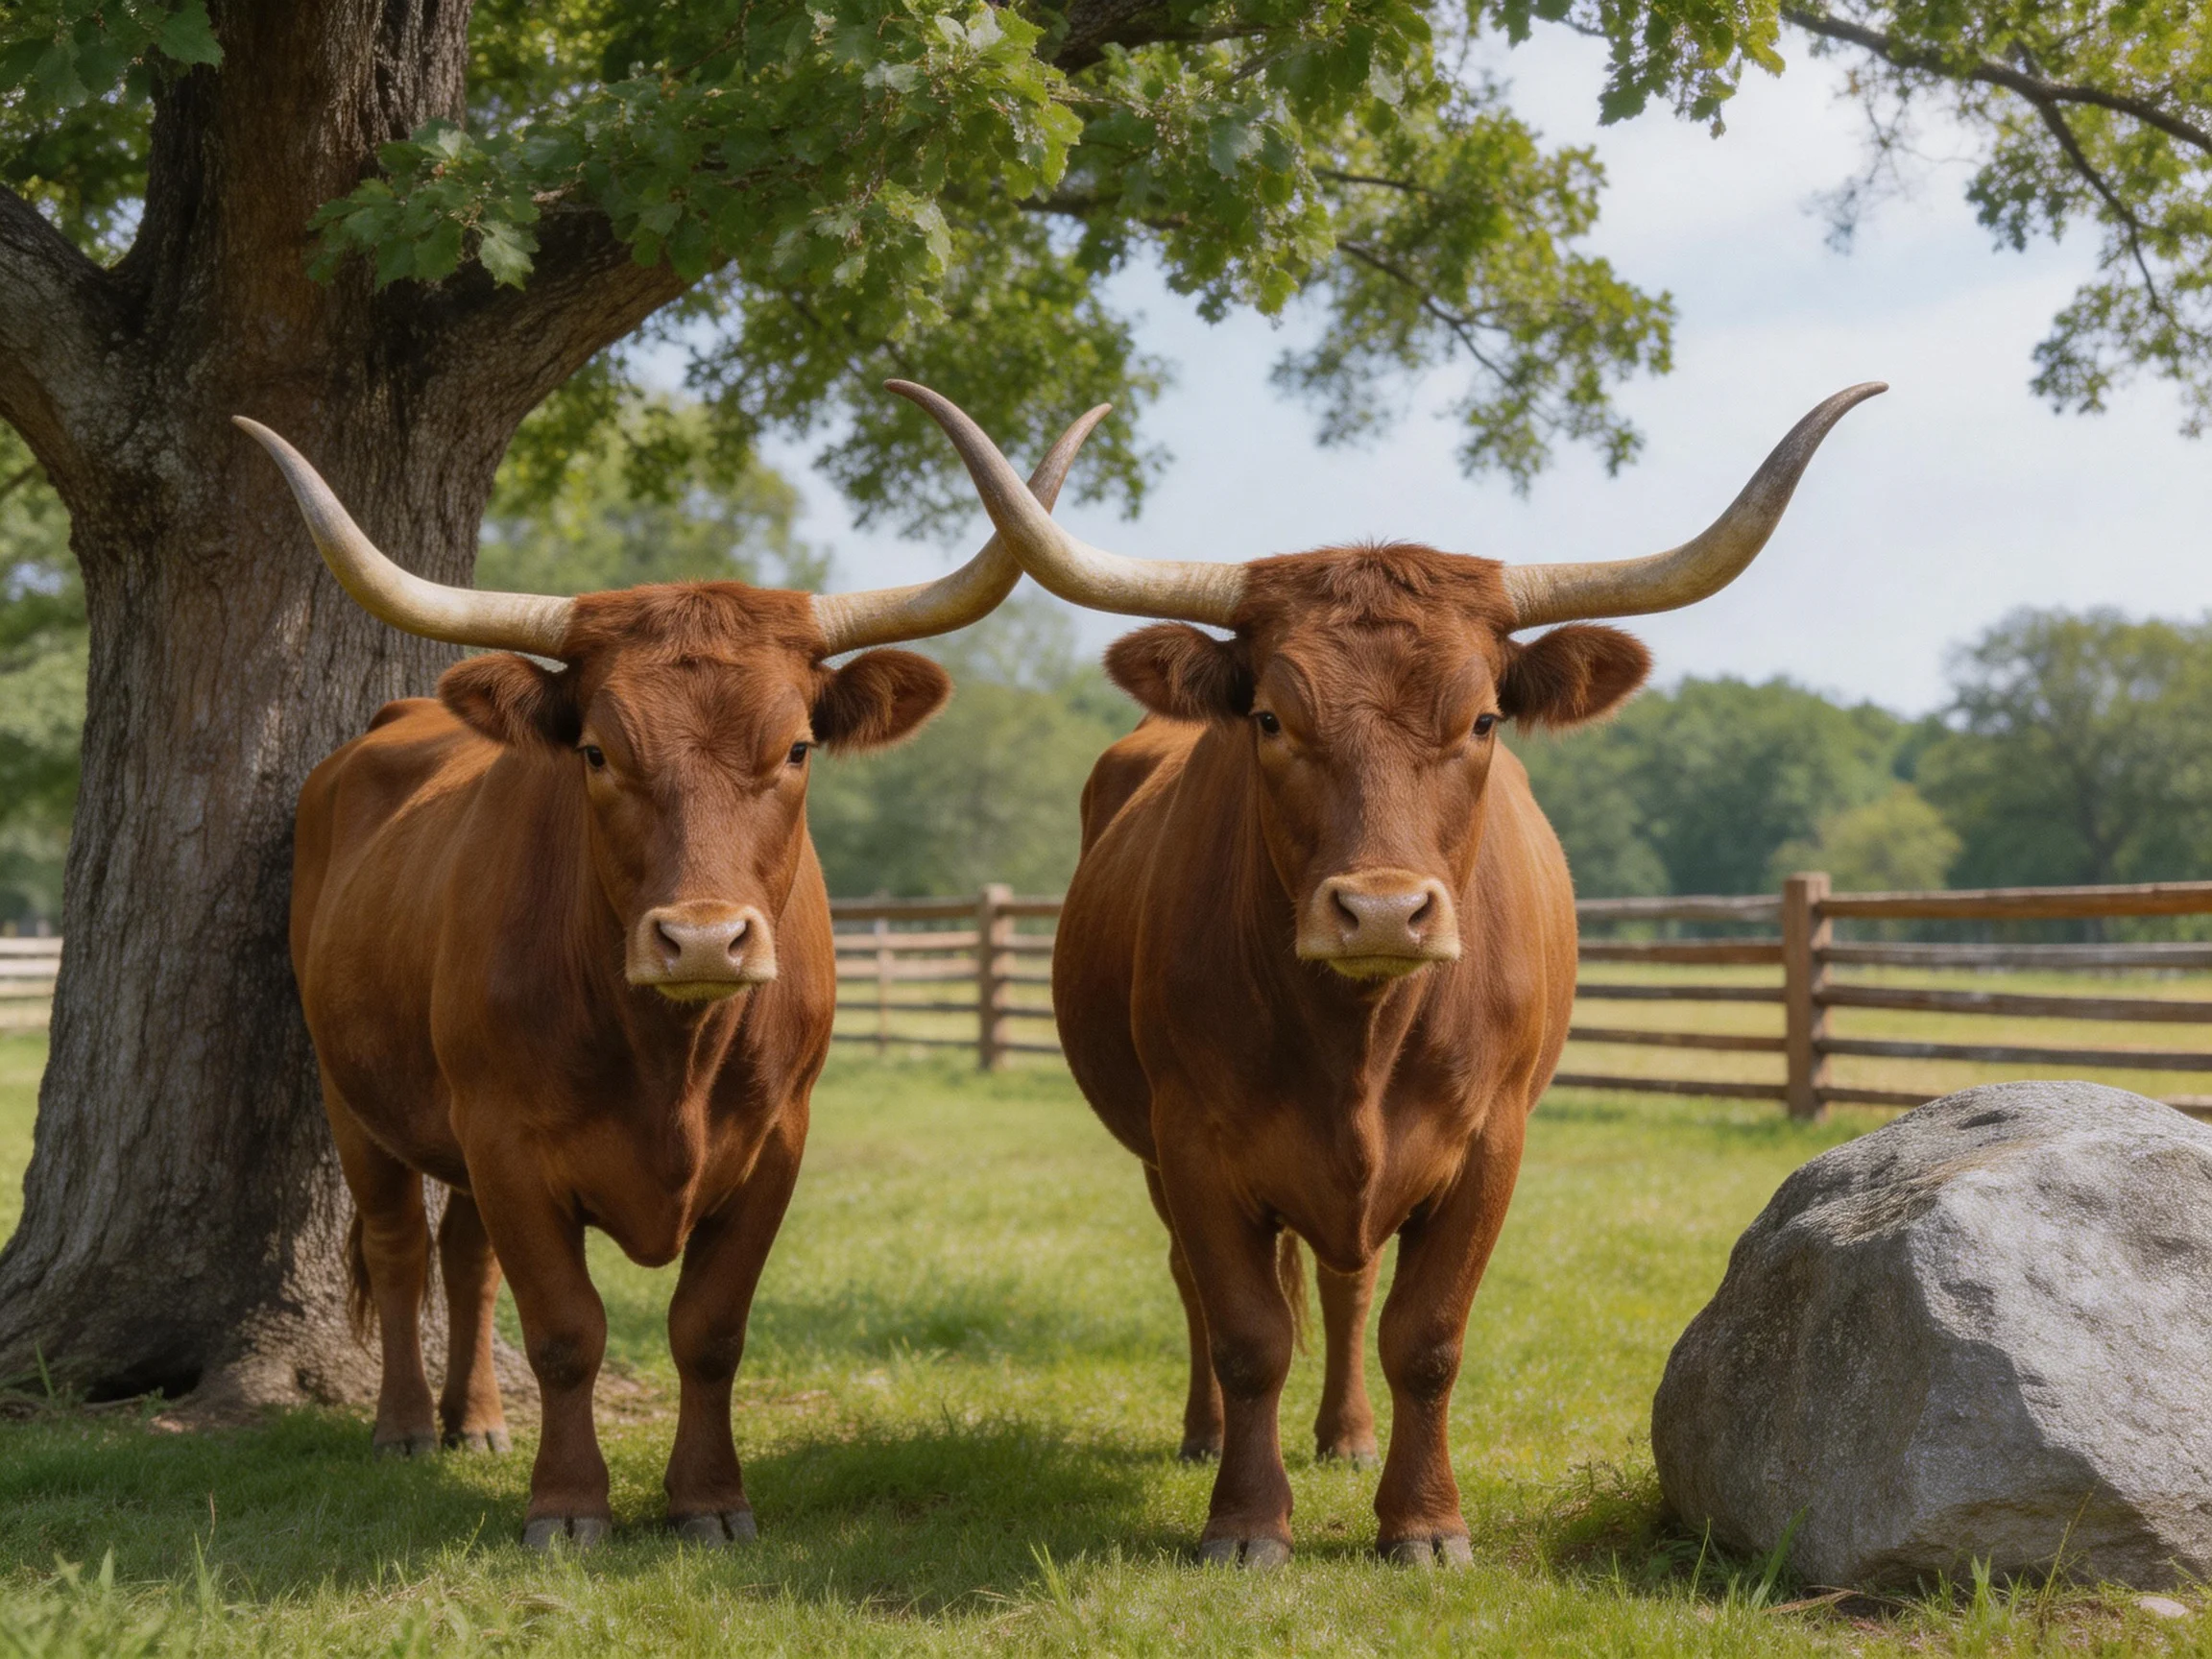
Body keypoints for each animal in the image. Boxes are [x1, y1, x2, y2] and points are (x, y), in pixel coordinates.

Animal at [237, 404, 1103, 1548]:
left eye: (796, 749)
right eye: (598, 753)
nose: (701, 941)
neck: (670, 1057)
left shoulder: (777, 1140)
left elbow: (709, 1329)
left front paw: (709, 1500)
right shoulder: (507, 1137)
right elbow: (566, 1330)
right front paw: (568, 1506)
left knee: (465, 1262)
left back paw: (479, 1421)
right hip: (356, 1102)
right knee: (399, 1250)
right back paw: (410, 1428)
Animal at [890, 378, 1883, 1567]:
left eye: (1485, 717)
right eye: (1271, 717)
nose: (1379, 910)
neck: (1354, 1039)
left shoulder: (1490, 1142)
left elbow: (1426, 1336)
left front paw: (1424, 1522)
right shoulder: (1193, 1140)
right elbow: (1247, 1332)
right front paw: (1244, 1522)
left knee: (1347, 1283)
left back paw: (1348, 1437)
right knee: (1209, 1286)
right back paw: (1205, 1434)